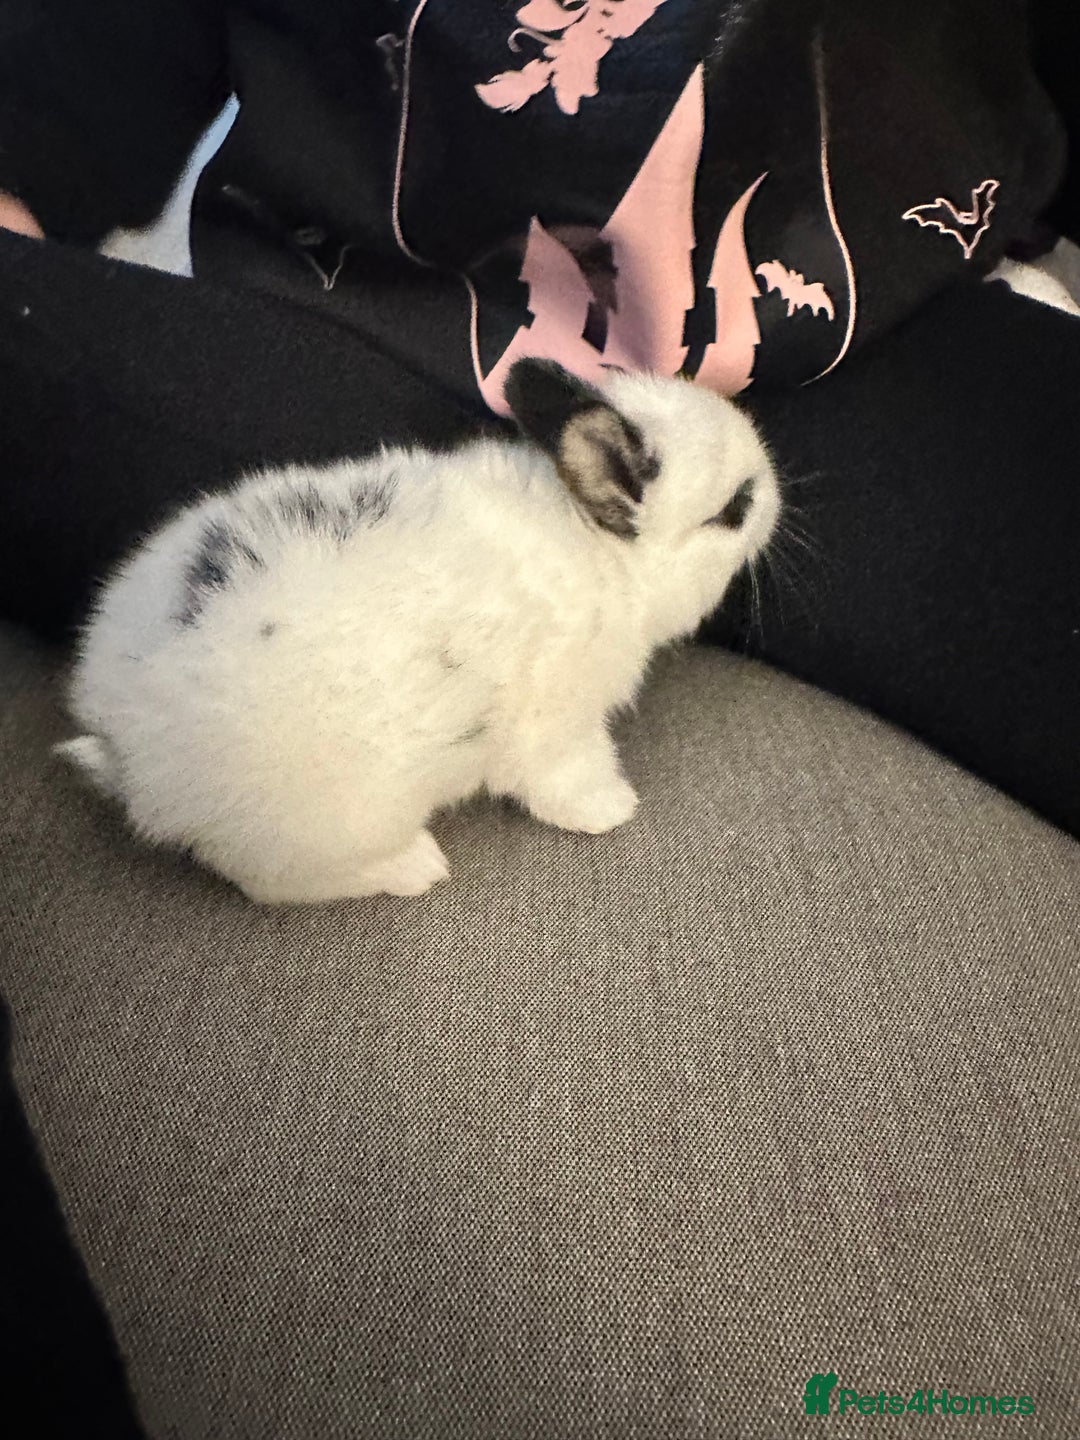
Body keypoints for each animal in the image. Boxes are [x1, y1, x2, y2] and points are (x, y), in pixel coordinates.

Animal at [55, 359, 780, 905]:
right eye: (736, 507)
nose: (776, 492)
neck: (595, 544)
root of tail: (124, 740)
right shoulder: (557, 726)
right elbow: (567, 779)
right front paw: (613, 809)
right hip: (331, 822)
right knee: (271, 884)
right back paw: (416, 867)